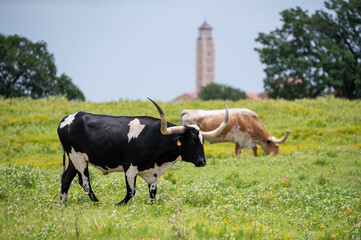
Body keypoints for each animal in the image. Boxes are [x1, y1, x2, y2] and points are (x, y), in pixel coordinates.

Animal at [58, 98, 229, 204]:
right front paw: (119, 204)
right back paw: (97, 203)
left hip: (74, 159)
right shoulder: (130, 167)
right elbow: (130, 192)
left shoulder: (153, 175)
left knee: (66, 179)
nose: (202, 162)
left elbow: (153, 194)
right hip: (78, 158)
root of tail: (68, 117)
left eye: (202, 141)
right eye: (191, 141)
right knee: (84, 181)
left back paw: (62, 204)